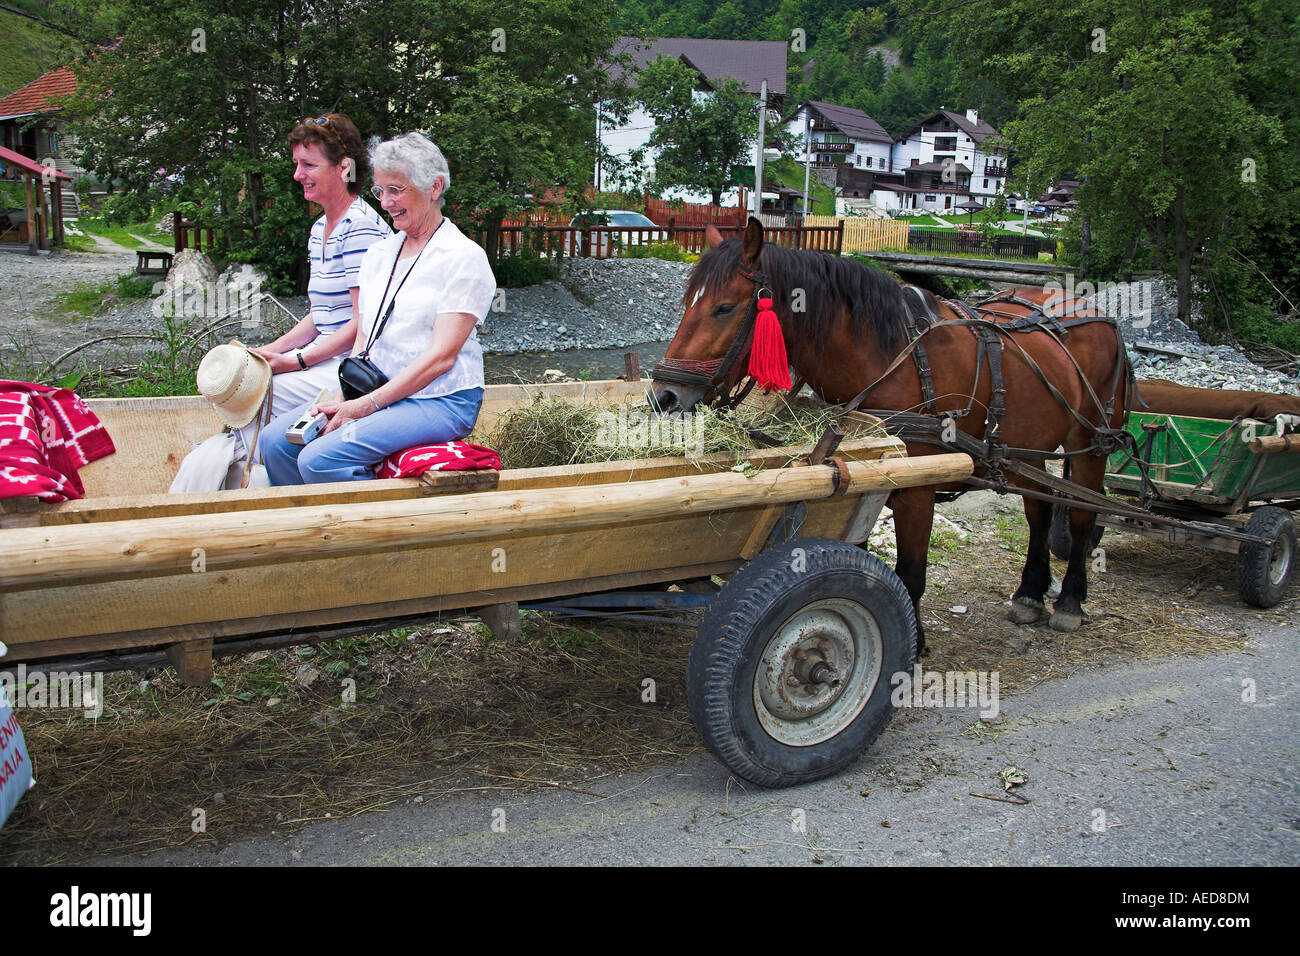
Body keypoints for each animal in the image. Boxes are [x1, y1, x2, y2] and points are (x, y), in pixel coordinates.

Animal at [651, 218, 1132, 653]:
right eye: (687, 302)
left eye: (725, 307)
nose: (664, 396)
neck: (892, 356)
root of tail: (1088, 307)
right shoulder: (860, 482)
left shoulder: (917, 488)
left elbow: (912, 573)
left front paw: (912, 643)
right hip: (1029, 447)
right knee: (1039, 510)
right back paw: (1030, 592)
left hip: (1090, 444)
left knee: (1083, 513)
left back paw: (1070, 600)